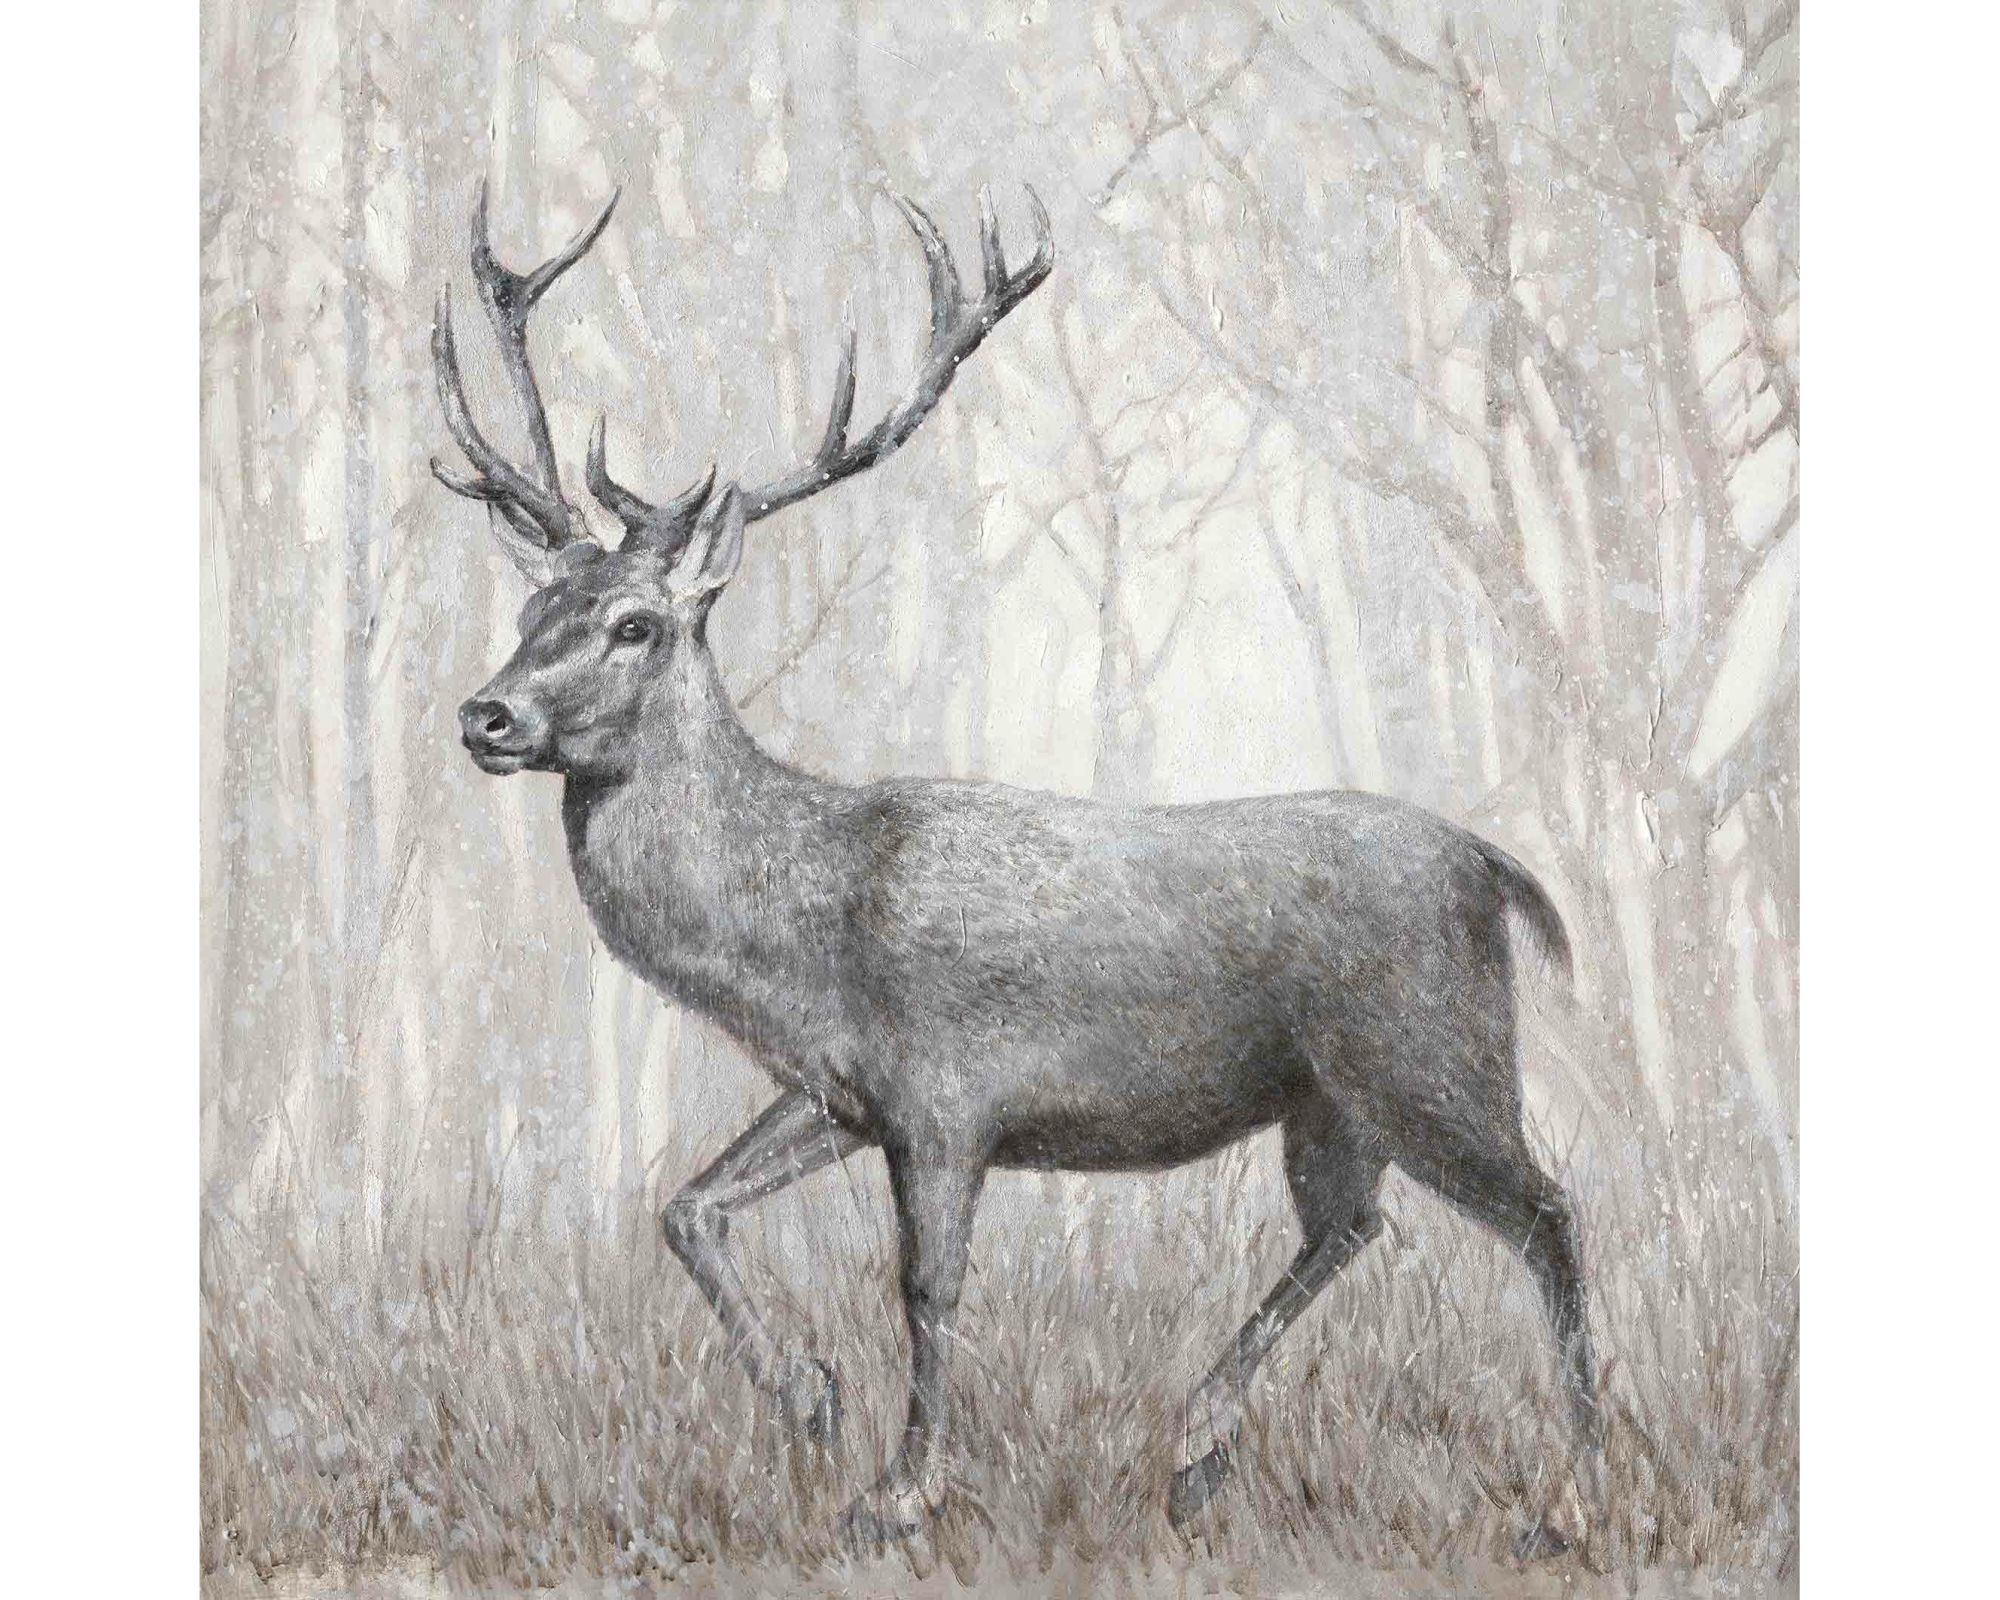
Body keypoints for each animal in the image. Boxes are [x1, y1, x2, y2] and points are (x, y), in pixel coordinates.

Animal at [432, 177, 1605, 1551]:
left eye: (634, 623)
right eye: (529, 614)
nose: (487, 716)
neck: (795, 930)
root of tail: (1495, 869)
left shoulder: (946, 1093)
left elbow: (925, 1285)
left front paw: (900, 1490)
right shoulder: (840, 1089)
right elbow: (685, 1204)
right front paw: (808, 1394)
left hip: (1428, 1051)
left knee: (1546, 1211)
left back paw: (1570, 1493)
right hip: (1329, 1097)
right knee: (1353, 1223)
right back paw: (1197, 1441)